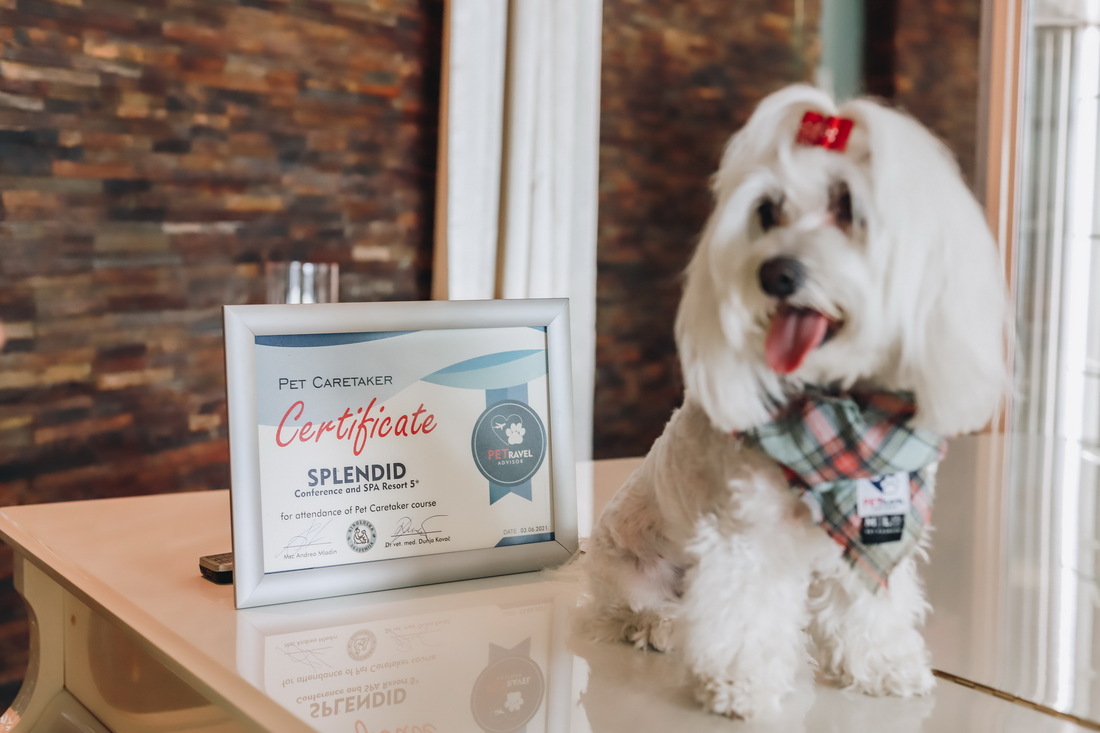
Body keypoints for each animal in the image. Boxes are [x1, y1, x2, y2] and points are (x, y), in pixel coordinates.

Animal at [578, 84, 1008, 719]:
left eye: (848, 206)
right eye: (766, 212)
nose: (776, 273)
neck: (837, 412)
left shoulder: (872, 532)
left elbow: (870, 606)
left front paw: (882, 664)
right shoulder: (744, 537)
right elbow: (744, 613)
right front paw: (741, 683)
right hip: (629, 571)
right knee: (637, 612)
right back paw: (664, 627)